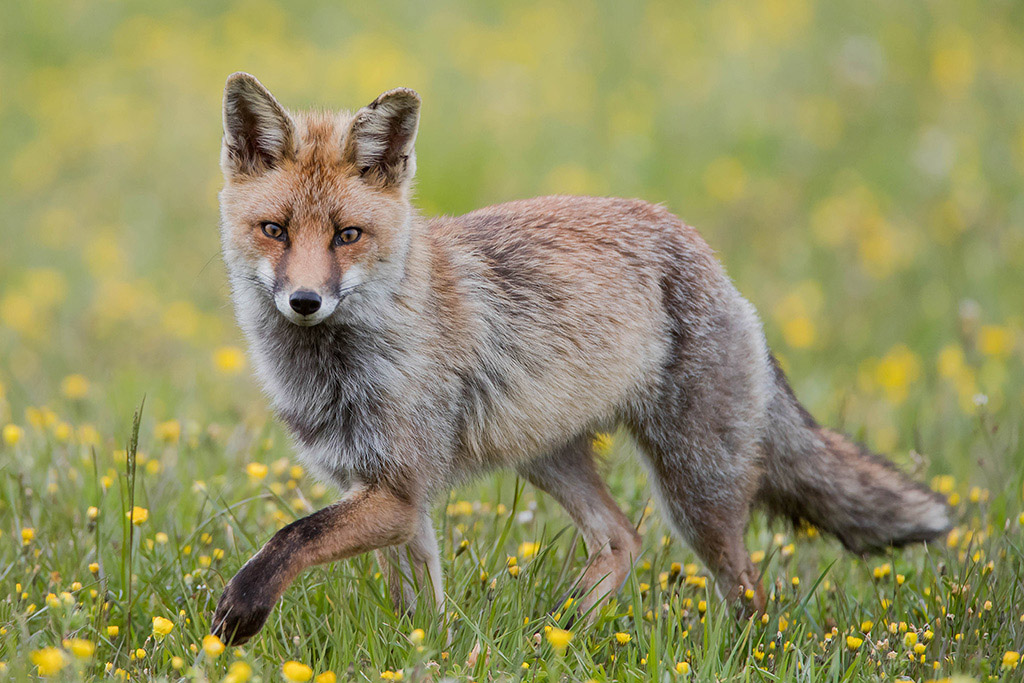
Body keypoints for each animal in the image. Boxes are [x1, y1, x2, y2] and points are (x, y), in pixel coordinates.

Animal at [211, 72, 951, 645]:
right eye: (275, 230)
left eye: (347, 235)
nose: (305, 300)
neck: (341, 363)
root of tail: (702, 250)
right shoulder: (389, 494)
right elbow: (416, 606)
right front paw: (428, 651)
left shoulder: (398, 489)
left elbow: (291, 535)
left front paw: (242, 610)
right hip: (550, 457)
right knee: (621, 540)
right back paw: (562, 634)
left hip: (696, 490)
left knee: (746, 588)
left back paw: (739, 653)